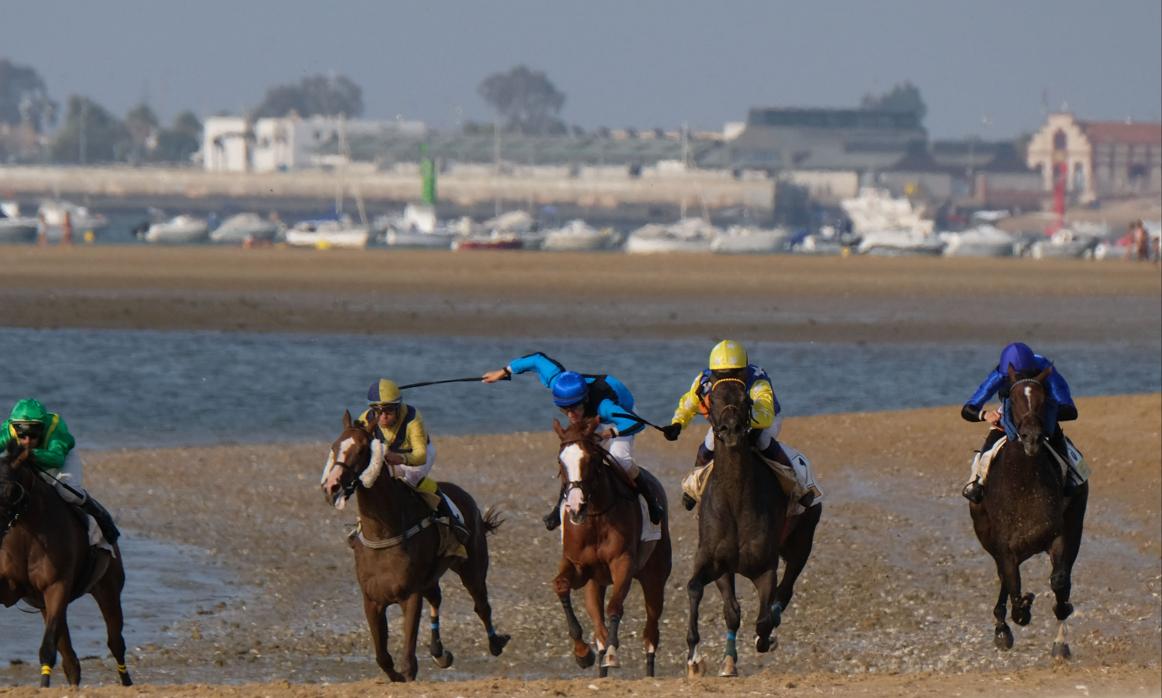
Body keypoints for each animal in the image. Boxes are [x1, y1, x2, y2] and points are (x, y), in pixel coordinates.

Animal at [0, 445, 131, 687]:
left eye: (12, 492)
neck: (27, 534)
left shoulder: (57, 586)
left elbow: (47, 649)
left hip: (108, 589)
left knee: (116, 643)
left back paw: (128, 684)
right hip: (46, 605)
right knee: (71, 660)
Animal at [323, 408, 513, 678]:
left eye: (360, 450)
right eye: (334, 446)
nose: (331, 485)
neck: (384, 532)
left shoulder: (410, 595)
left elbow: (408, 662)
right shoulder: (372, 600)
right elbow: (383, 658)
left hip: (472, 566)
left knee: (481, 605)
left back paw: (495, 642)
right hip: (430, 577)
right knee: (436, 598)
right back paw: (439, 652)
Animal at [550, 415, 673, 678]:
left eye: (590, 460)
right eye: (560, 461)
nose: (575, 506)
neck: (595, 517)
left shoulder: (622, 562)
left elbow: (615, 606)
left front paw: (613, 653)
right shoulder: (579, 566)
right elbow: (561, 586)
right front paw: (582, 652)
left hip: (654, 577)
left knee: (651, 632)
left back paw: (647, 673)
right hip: (595, 583)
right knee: (599, 627)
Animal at [683, 376, 822, 673]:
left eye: (745, 399)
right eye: (713, 399)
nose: (732, 430)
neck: (735, 502)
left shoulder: (764, 568)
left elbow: (763, 619)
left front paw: (765, 638)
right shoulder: (717, 563)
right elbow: (717, 602)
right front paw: (701, 658)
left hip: (802, 541)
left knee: (786, 588)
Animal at [971, 367, 1087, 655]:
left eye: (1044, 399)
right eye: (1012, 398)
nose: (1032, 437)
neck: (1024, 482)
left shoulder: (1059, 532)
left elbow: (1059, 580)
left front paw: (1061, 619)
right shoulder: (1004, 543)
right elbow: (1013, 585)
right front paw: (1020, 609)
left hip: (1076, 521)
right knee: (1004, 575)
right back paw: (1002, 626)